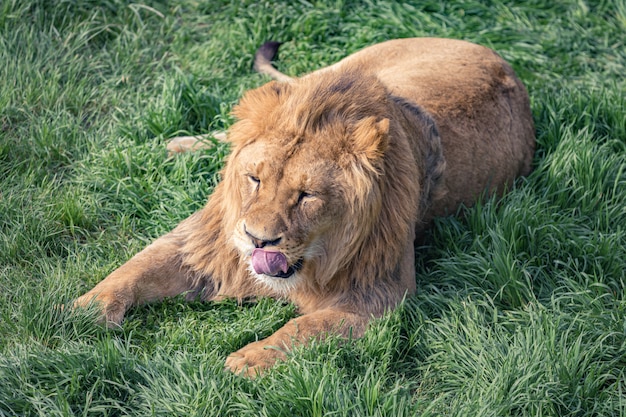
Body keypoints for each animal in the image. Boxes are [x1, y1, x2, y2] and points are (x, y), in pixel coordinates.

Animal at [73, 38, 532, 374]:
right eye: (255, 179)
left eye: (306, 196)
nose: (258, 241)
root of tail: (502, 62)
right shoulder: (203, 245)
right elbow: (133, 271)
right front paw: (79, 313)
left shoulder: (381, 295)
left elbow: (308, 326)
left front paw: (249, 358)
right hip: (343, 68)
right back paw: (176, 145)